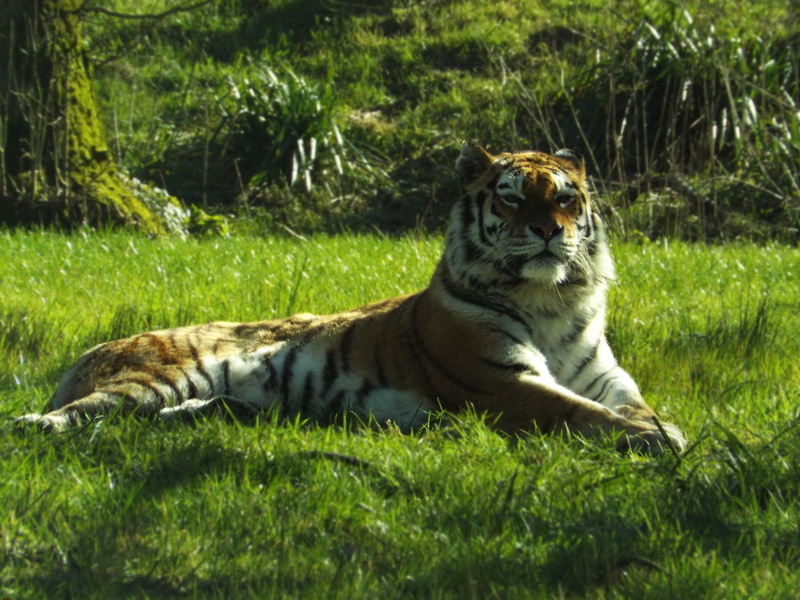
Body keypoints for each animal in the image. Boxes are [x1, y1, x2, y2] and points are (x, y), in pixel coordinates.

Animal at [16, 142, 687, 454]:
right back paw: (34, 425)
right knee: (77, 414)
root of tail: (95, 348)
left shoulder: (608, 378)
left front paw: (661, 428)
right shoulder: (502, 383)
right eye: (513, 197)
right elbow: (578, 412)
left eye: (566, 197)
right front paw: (660, 440)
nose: (550, 231)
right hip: (154, 378)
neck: (553, 301)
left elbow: (633, 405)